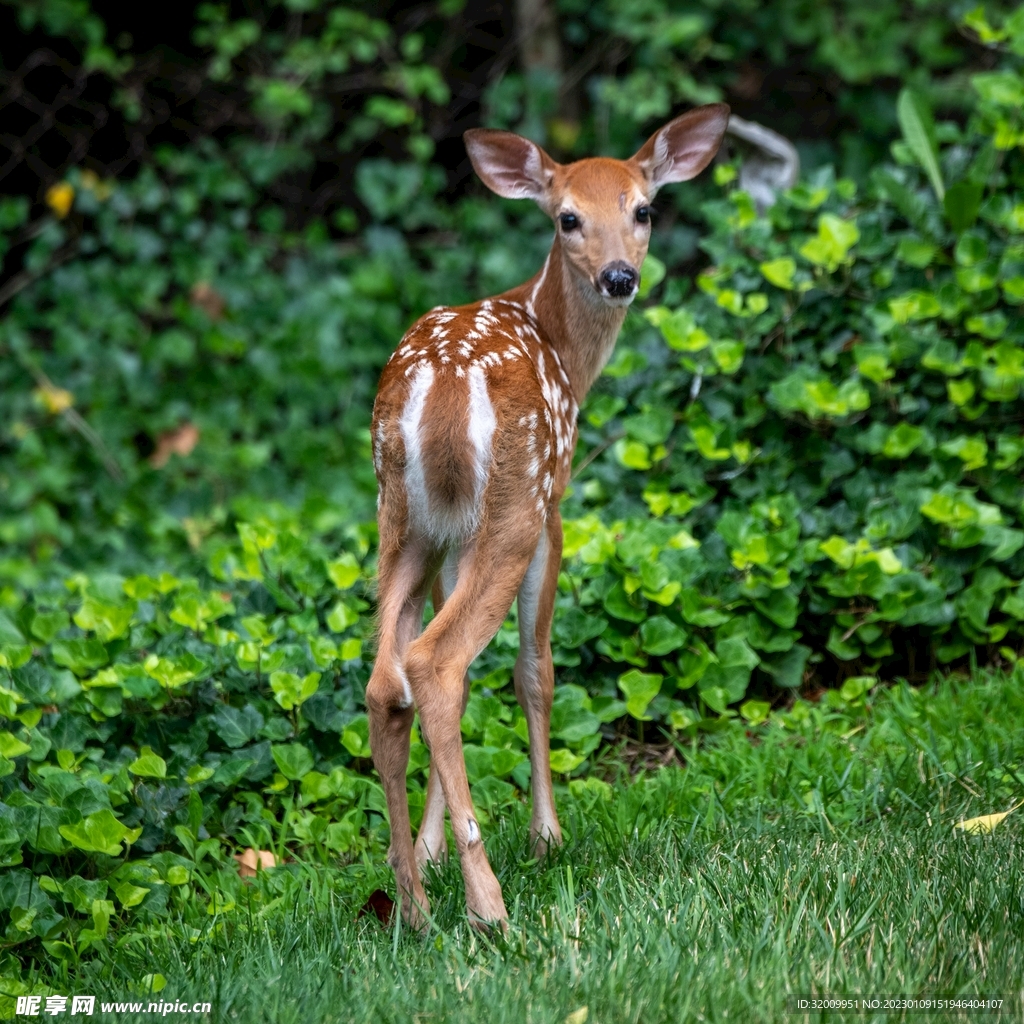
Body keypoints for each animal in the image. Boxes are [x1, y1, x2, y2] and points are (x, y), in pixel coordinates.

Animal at [366, 103, 730, 930]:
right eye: (568, 217)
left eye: (643, 209)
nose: (620, 276)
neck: (560, 344)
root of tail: (440, 388)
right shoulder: (555, 502)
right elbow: (536, 669)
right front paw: (546, 835)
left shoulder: (449, 536)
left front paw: (431, 851)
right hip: (515, 506)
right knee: (436, 664)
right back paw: (488, 904)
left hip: (401, 520)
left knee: (388, 678)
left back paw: (413, 902)